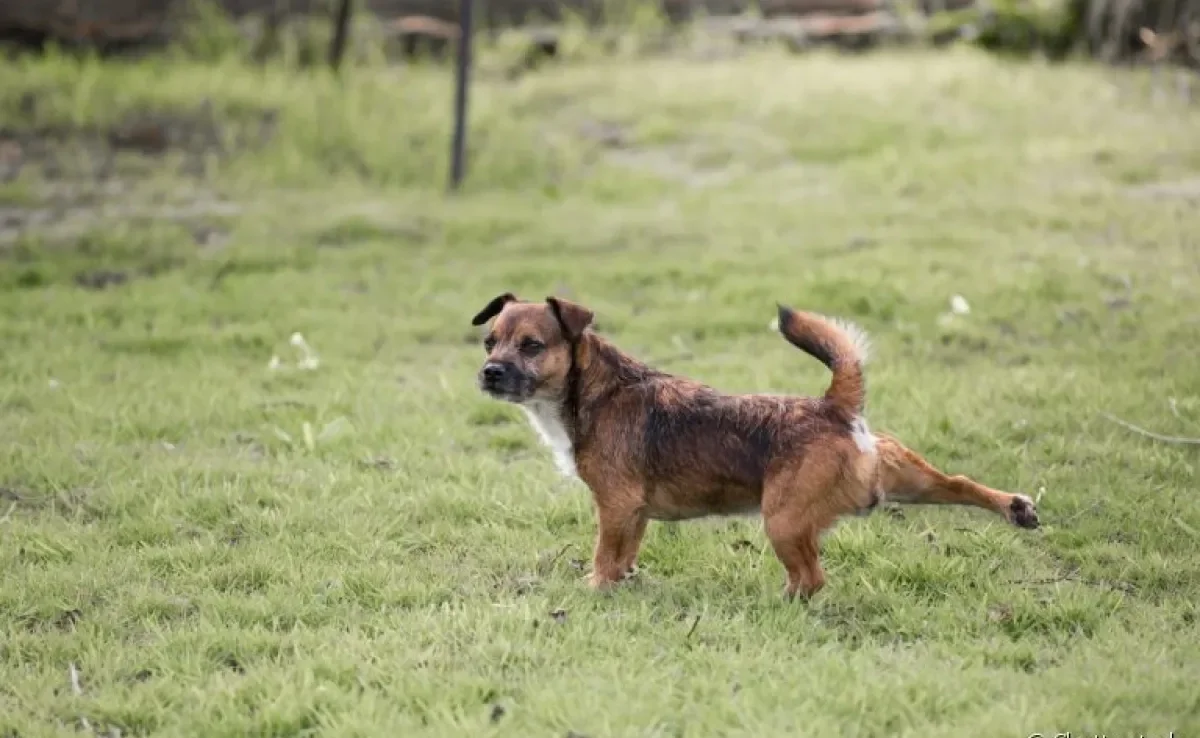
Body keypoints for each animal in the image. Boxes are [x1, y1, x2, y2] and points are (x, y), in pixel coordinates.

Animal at [468, 294, 1041, 600]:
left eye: (532, 346)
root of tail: (835, 408)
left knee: (811, 577)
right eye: (489, 341)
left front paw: (594, 591)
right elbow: (623, 557)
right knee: (960, 483)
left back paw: (780, 602)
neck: (594, 389)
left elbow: (605, 557)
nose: (490, 371)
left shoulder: (615, 506)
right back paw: (1016, 508)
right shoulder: (632, 514)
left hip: (783, 520)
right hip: (906, 478)